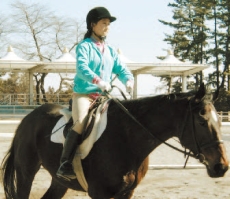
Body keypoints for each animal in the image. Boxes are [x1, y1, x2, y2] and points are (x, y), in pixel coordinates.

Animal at [0, 83, 229, 198]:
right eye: (201, 121)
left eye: (219, 120)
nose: (221, 167)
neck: (127, 140)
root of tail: (28, 118)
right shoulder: (99, 194)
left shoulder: (127, 193)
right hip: (26, 173)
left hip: (59, 181)